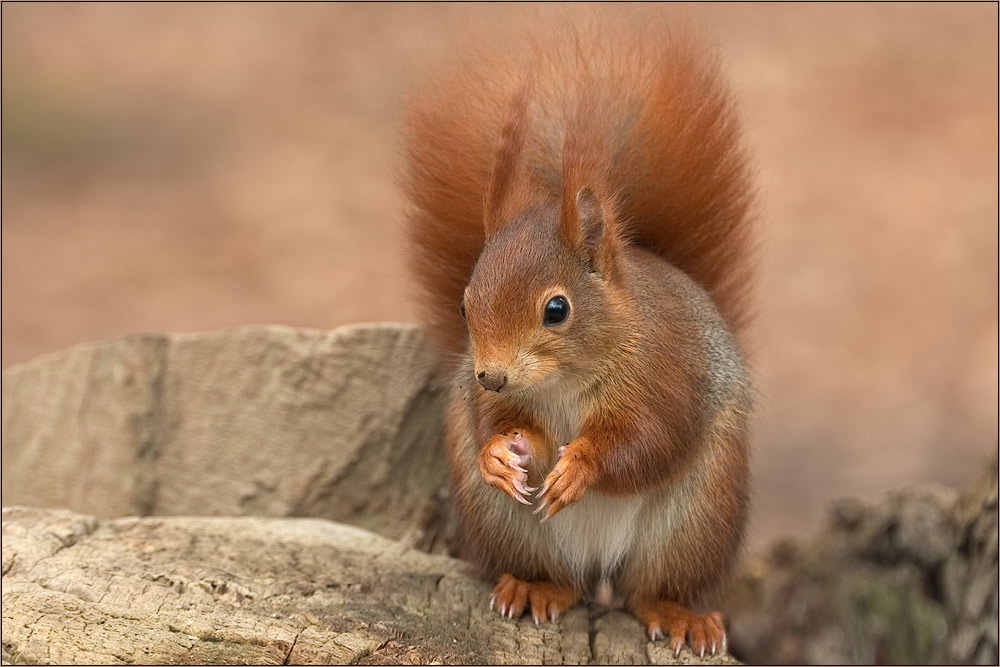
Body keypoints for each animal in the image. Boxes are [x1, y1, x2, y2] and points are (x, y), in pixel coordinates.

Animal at [398, 20, 752, 656]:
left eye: (556, 309)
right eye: (464, 305)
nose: (490, 375)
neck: (563, 381)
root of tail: (597, 565)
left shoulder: (665, 376)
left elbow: (646, 441)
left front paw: (580, 466)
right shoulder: (498, 403)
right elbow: (504, 429)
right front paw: (501, 453)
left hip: (697, 521)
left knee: (647, 592)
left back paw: (681, 616)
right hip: (507, 526)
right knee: (560, 581)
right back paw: (533, 589)